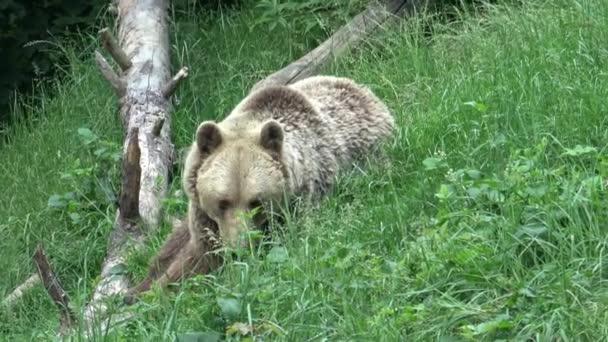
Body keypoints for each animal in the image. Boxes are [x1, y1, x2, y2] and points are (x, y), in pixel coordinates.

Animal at [126, 76, 396, 300]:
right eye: (222, 201)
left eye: (256, 202)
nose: (239, 249)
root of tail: (363, 90)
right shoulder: (203, 218)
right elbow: (194, 258)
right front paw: (146, 291)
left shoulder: (298, 205)